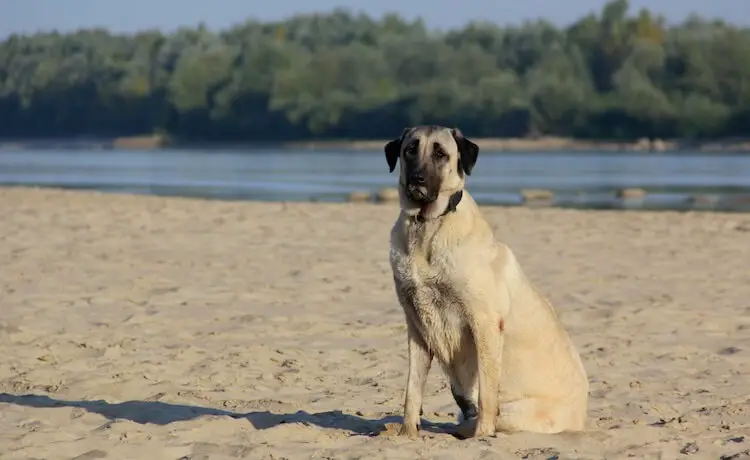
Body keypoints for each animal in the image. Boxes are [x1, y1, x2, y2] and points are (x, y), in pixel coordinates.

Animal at [384, 125, 592, 438]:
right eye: (410, 150)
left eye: (440, 154)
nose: (417, 178)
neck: (426, 226)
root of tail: (581, 417)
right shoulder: (417, 327)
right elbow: (412, 390)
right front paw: (407, 434)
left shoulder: (484, 324)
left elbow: (486, 394)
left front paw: (482, 436)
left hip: (516, 413)